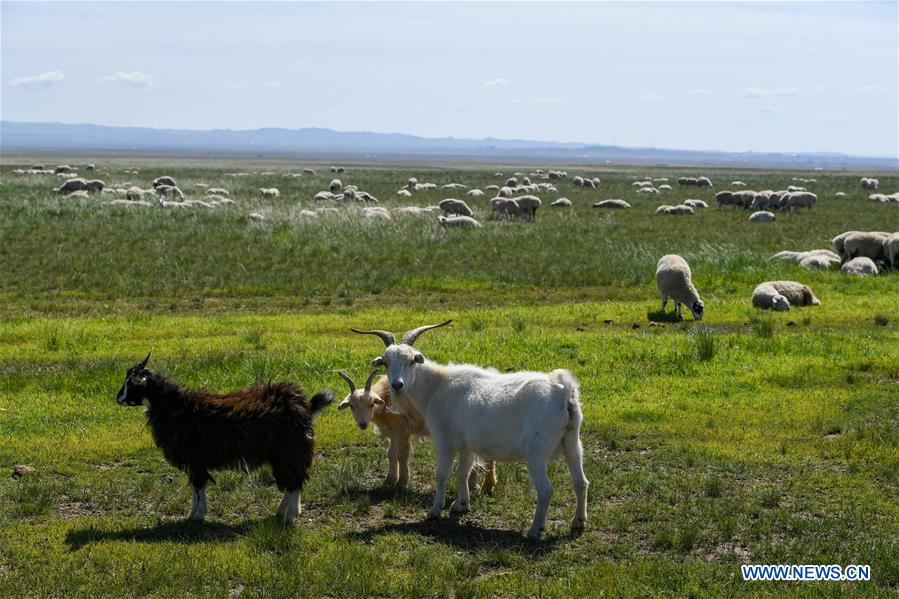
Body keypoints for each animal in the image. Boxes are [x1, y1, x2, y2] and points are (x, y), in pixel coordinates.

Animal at [115, 354, 334, 524]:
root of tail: (304, 406)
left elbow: (198, 485)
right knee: (291, 482)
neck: (175, 407)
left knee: (294, 481)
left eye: (131, 383)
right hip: (283, 454)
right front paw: (194, 514)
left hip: (289, 451)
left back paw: (289, 516)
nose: (118, 399)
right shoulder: (195, 461)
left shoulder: (194, 458)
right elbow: (196, 486)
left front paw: (197, 515)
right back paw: (282, 512)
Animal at [352, 324, 592, 544]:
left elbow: (442, 474)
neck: (437, 388)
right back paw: (578, 522)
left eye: (411, 360)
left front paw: (434, 511)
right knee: (581, 483)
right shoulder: (466, 446)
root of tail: (564, 391)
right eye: (386, 362)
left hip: (536, 452)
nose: (397, 385)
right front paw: (461, 505)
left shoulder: (446, 442)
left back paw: (535, 530)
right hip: (572, 443)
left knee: (545, 490)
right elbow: (462, 473)